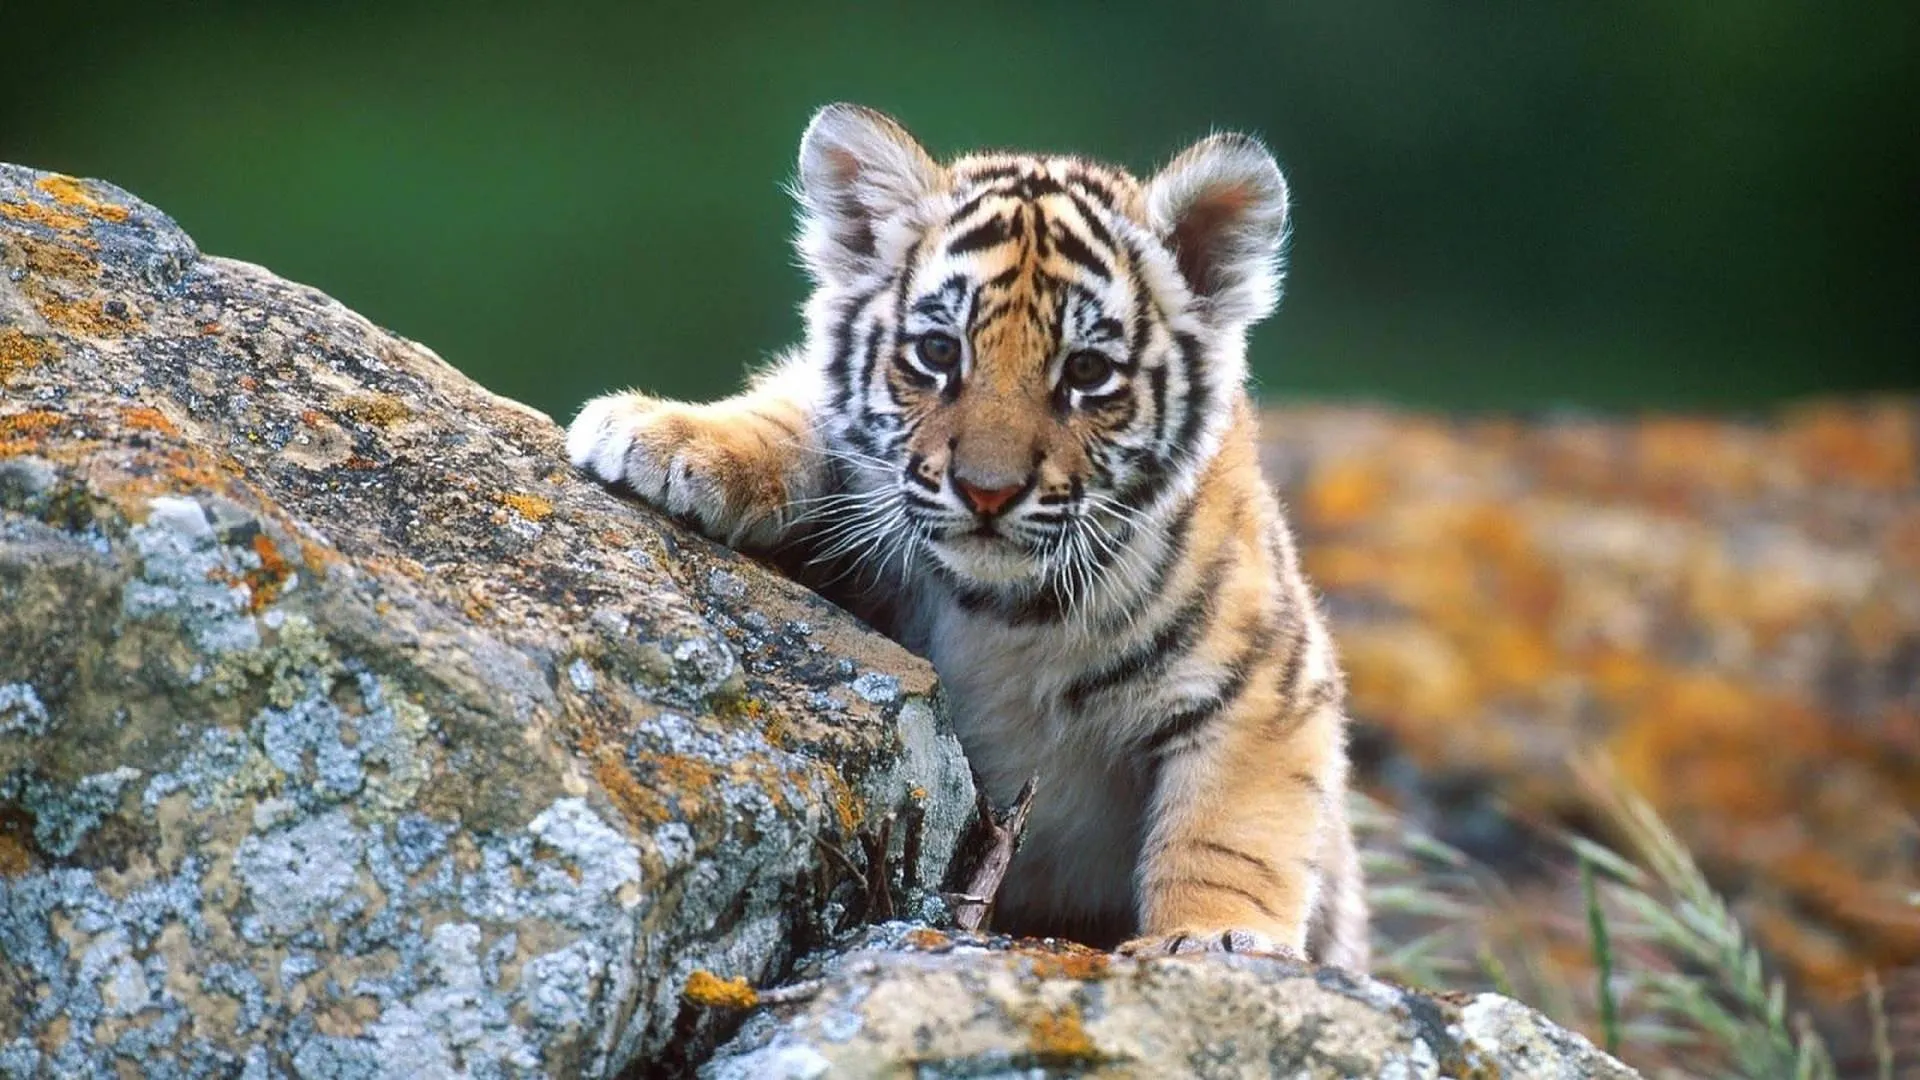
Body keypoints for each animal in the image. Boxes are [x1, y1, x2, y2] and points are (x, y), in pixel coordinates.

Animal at [565, 103, 1367, 968]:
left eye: (1087, 372)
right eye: (938, 351)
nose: (988, 490)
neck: (1004, 611)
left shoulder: (1266, 685)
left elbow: (1228, 834)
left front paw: (1214, 939)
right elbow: (796, 413)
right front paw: (663, 435)